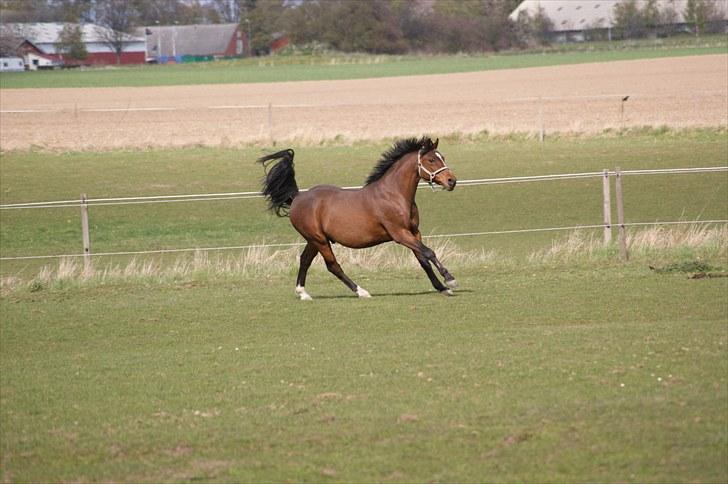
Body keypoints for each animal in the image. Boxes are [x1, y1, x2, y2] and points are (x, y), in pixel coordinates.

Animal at [258, 136, 458, 300]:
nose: (452, 181)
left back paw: (303, 293)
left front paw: (442, 288)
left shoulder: (414, 232)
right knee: (333, 265)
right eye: (431, 159)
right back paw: (361, 291)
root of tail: (297, 197)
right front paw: (450, 280)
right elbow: (429, 253)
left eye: (443, 157)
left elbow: (423, 260)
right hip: (319, 239)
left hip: (314, 240)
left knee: (305, 260)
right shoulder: (400, 234)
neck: (394, 195)